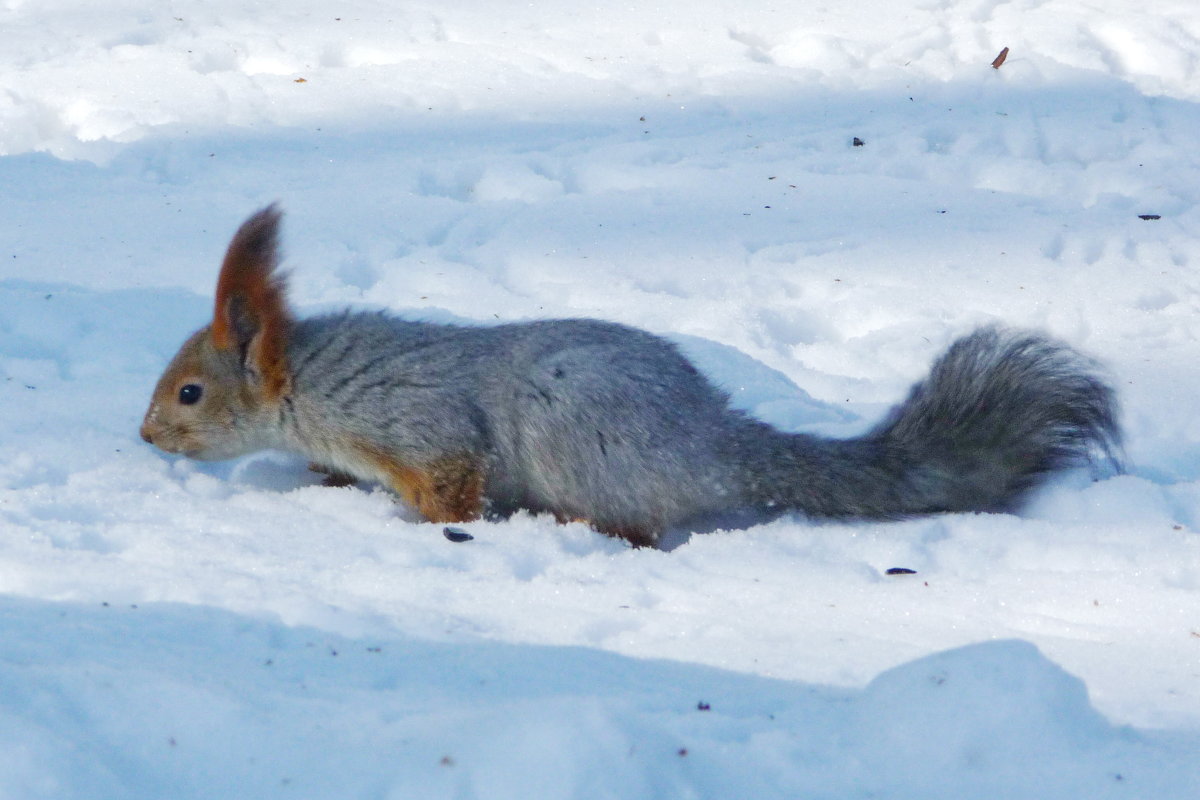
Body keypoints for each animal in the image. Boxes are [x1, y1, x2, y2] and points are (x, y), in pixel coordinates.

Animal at [142, 203, 1123, 546]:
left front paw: (422, 524)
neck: (309, 386)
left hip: (574, 434)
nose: (146, 436)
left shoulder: (415, 424)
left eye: (190, 392)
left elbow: (452, 484)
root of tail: (714, 444)